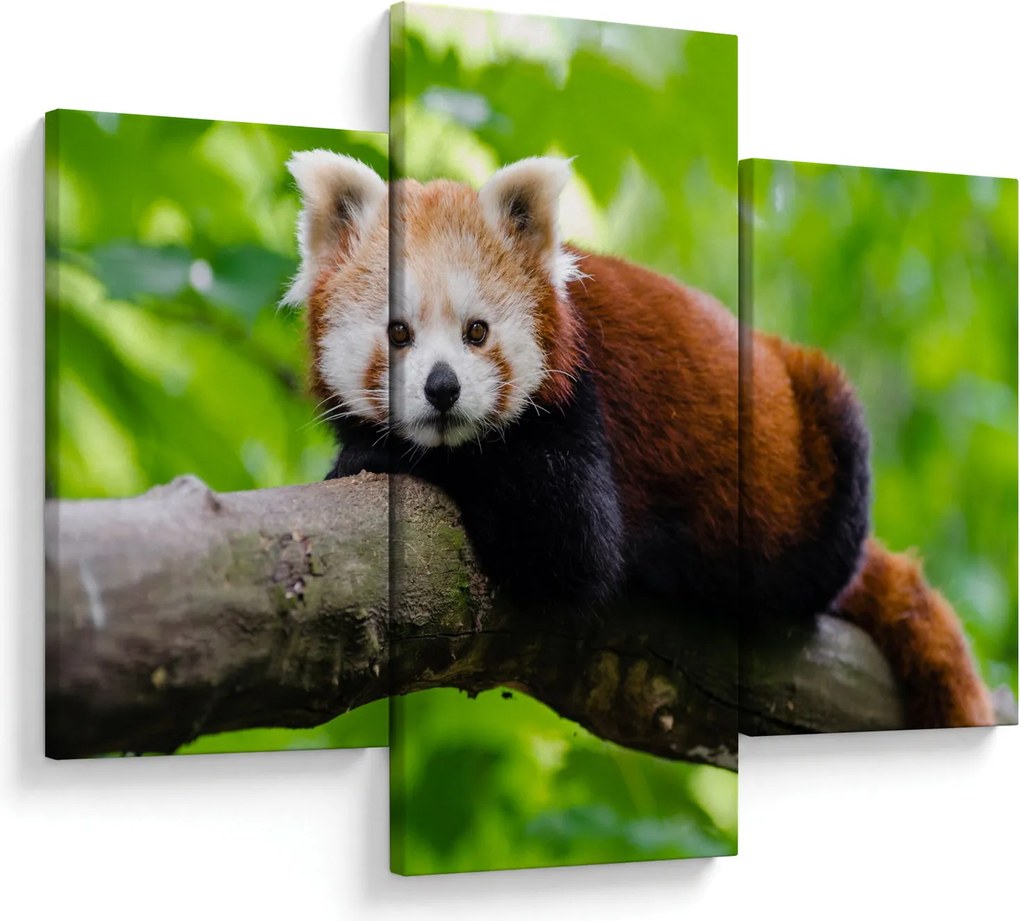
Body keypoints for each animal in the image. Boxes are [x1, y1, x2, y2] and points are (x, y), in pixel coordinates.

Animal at [282, 149, 994, 729]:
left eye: (476, 332)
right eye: (398, 333)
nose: (442, 389)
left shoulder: (581, 408)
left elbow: (571, 542)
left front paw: (370, 454)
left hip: (821, 441)